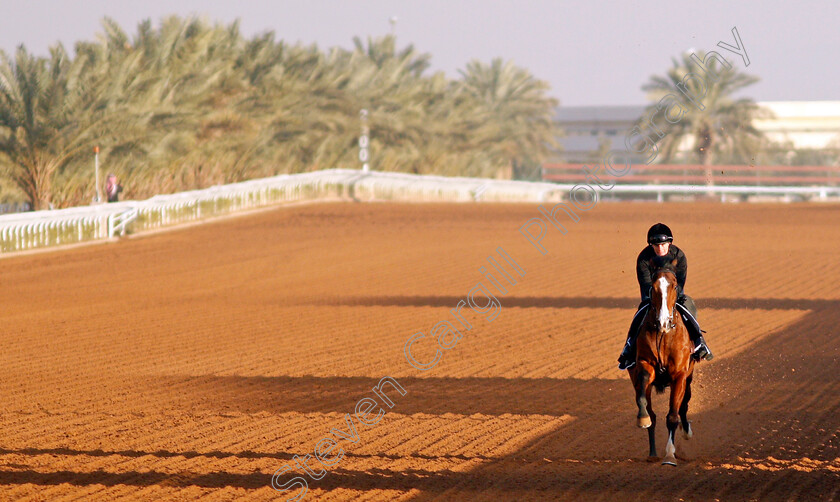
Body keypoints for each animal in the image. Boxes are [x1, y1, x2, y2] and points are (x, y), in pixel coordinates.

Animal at [632, 264, 696, 464]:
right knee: (652, 413)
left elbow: (673, 416)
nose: (663, 321)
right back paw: (652, 453)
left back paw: (686, 432)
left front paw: (670, 455)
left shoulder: (679, 375)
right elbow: (645, 402)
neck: (664, 335)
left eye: (674, 286)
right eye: (653, 288)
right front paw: (642, 418)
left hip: (688, 378)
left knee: (684, 404)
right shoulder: (644, 364)